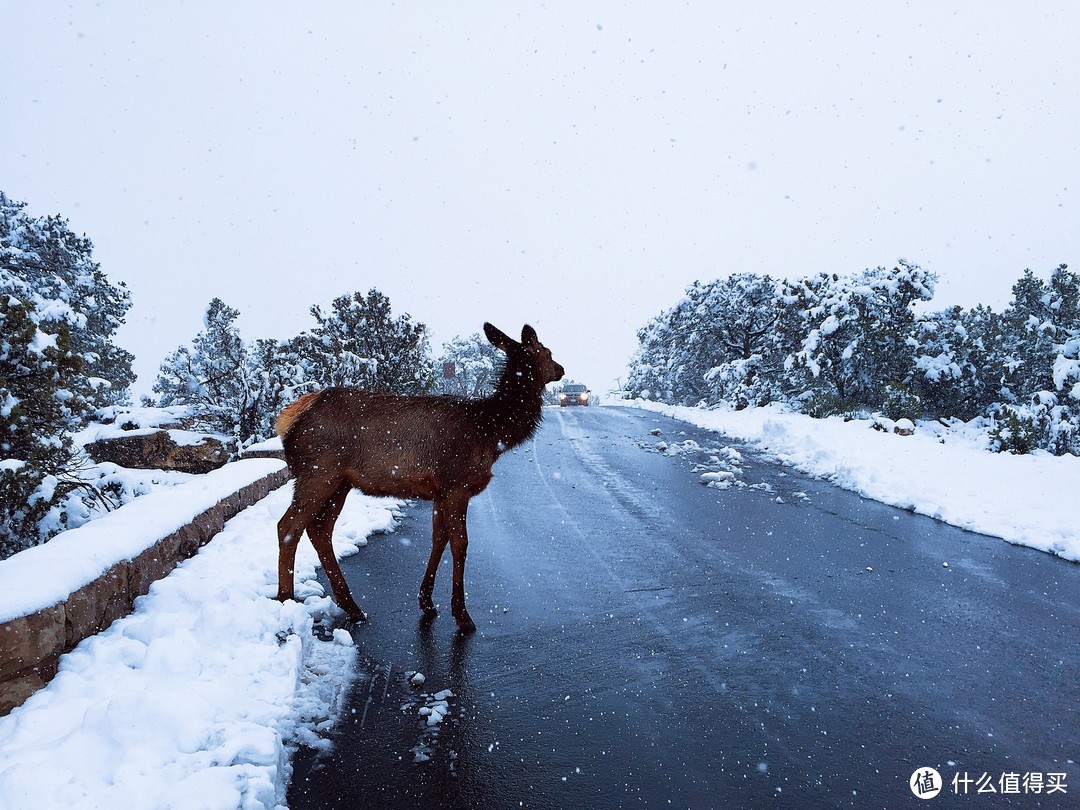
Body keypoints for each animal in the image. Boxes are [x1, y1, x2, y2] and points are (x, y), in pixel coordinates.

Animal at [274, 324, 565, 635]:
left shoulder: (439, 492)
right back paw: (285, 600)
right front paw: (462, 615)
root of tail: (288, 420)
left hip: (340, 483)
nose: (560, 369)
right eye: (547, 352)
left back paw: (351, 606)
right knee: (288, 526)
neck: (491, 433)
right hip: (318, 472)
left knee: (319, 529)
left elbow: (439, 540)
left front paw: (427, 602)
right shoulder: (457, 485)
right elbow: (460, 543)